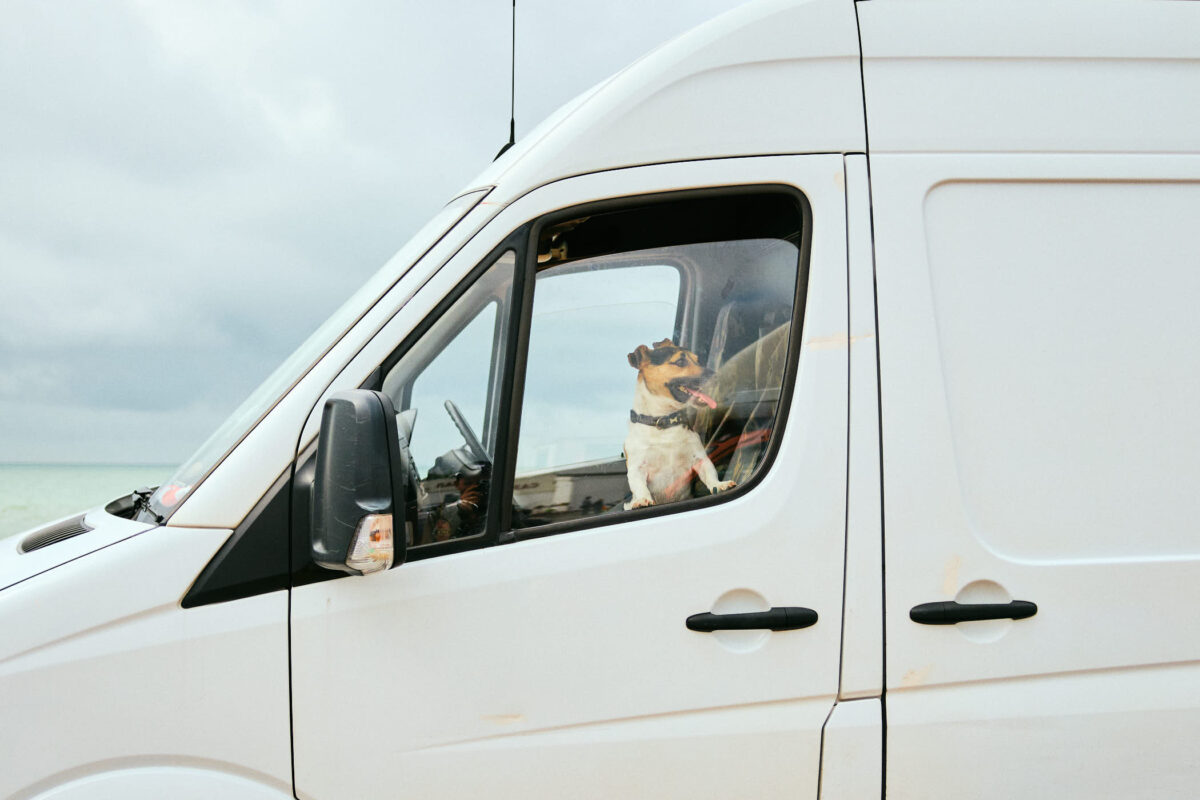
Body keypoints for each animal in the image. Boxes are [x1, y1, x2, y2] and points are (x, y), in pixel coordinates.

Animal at [624, 340, 734, 510]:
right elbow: (639, 485)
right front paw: (642, 499)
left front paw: (719, 484)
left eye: (698, 361)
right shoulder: (637, 467)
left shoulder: (699, 458)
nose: (718, 376)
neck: (665, 420)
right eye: (680, 361)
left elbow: (710, 473)